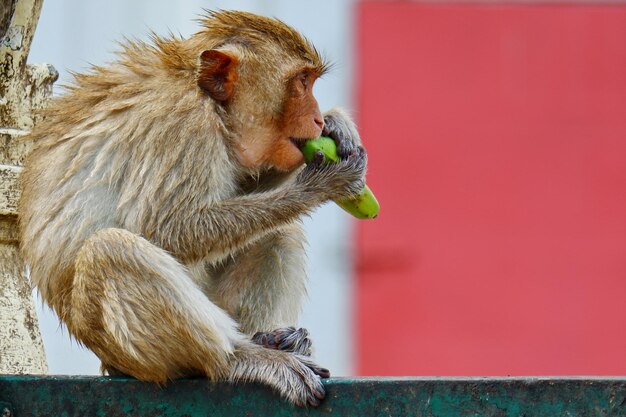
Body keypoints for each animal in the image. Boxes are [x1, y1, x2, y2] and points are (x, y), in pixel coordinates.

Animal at [18, 9, 366, 406]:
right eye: (301, 82)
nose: (318, 119)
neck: (208, 100)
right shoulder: (182, 125)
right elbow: (169, 229)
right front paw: (318, 184)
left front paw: (339, 126)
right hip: (127, 351)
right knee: (111, 249)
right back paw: (242, 358)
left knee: (281, 232)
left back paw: (273, 338)